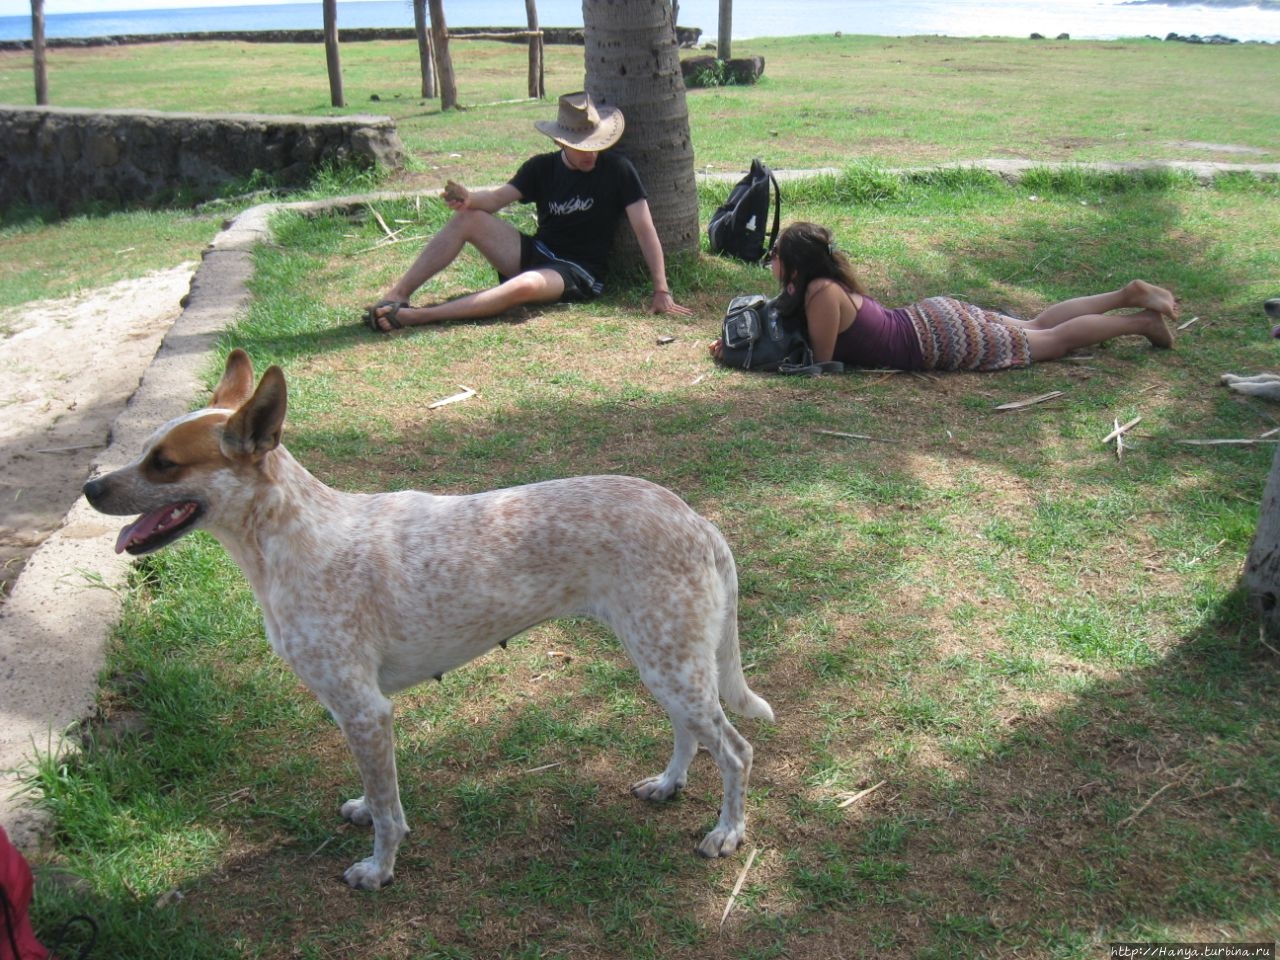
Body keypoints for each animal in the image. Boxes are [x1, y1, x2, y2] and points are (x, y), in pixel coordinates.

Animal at [87, 350, 778, 890]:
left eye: (164, 463)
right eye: (146, 453)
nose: (90, 488)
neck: (295, 538)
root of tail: (696, 519)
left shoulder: (366, 710)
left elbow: (391, 811)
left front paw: (378, 868)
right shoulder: (352, 711)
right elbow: (376, 791)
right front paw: (366, 810)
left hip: (670, 664)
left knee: (736, 751)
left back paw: (728, 832)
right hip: (664, 662)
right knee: (692, 734)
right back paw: (668, 784)